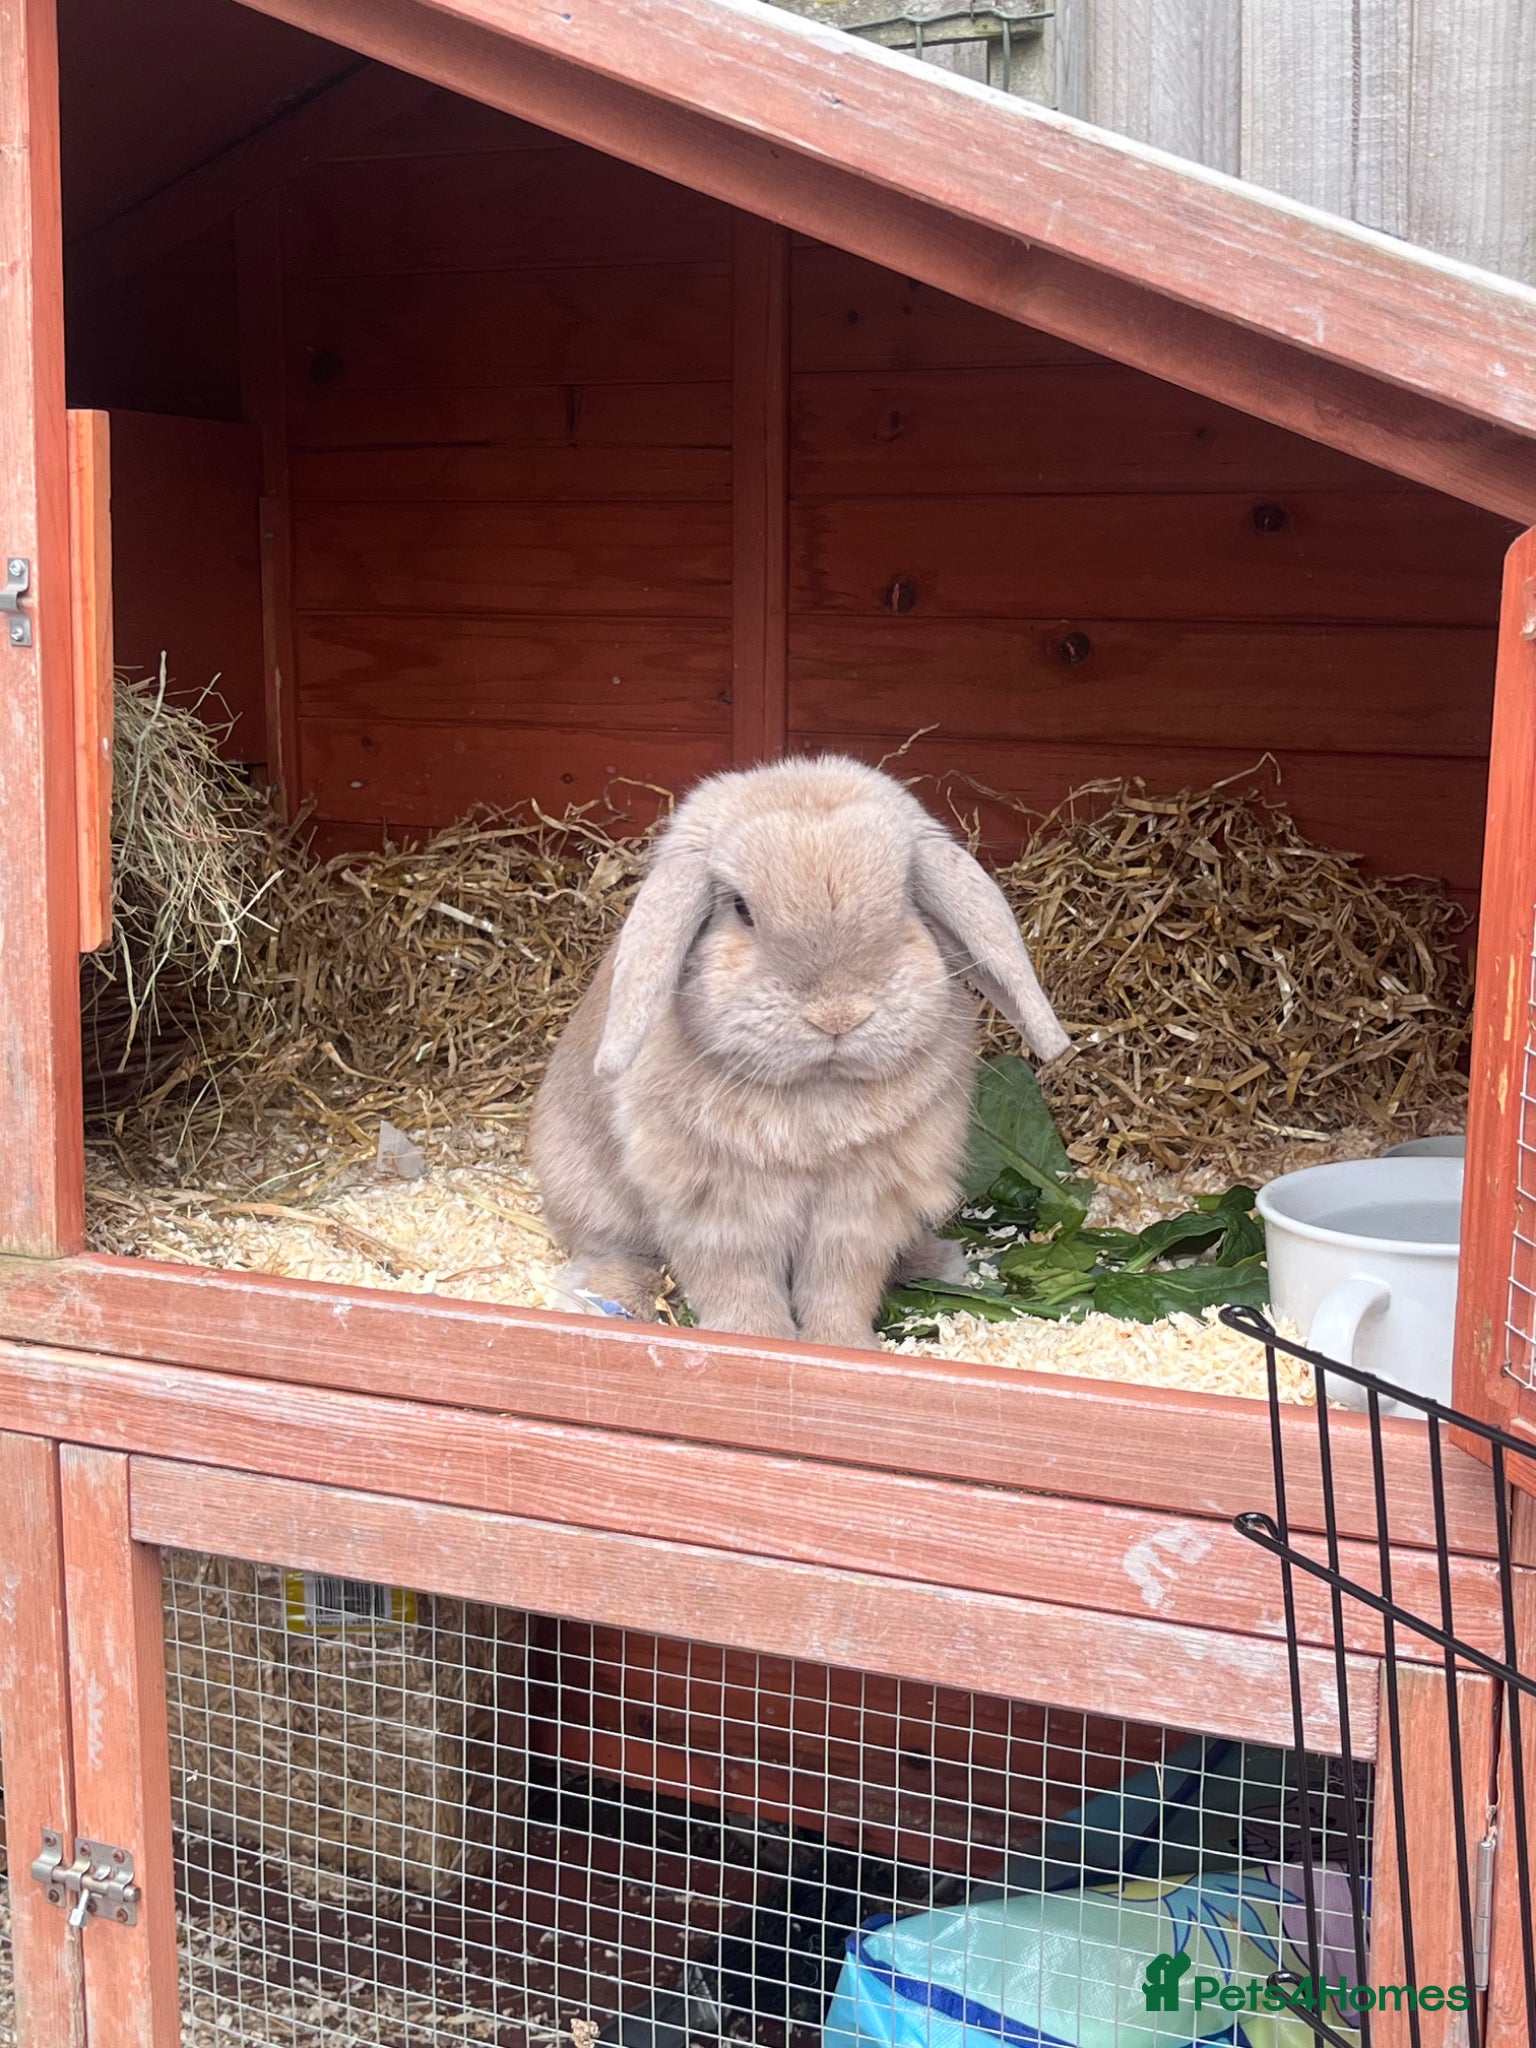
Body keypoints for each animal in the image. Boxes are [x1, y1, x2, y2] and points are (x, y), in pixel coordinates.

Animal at [530, 754, 1069, 1350]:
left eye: (905, 898)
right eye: (741, 908)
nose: (837, 1015)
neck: (818, 1090)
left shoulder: (861, 1210)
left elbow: (839, 1286)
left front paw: (843, 1347)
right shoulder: (718, 1210)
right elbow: (739, 1286)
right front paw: (755, 1343)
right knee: (622, 1251)